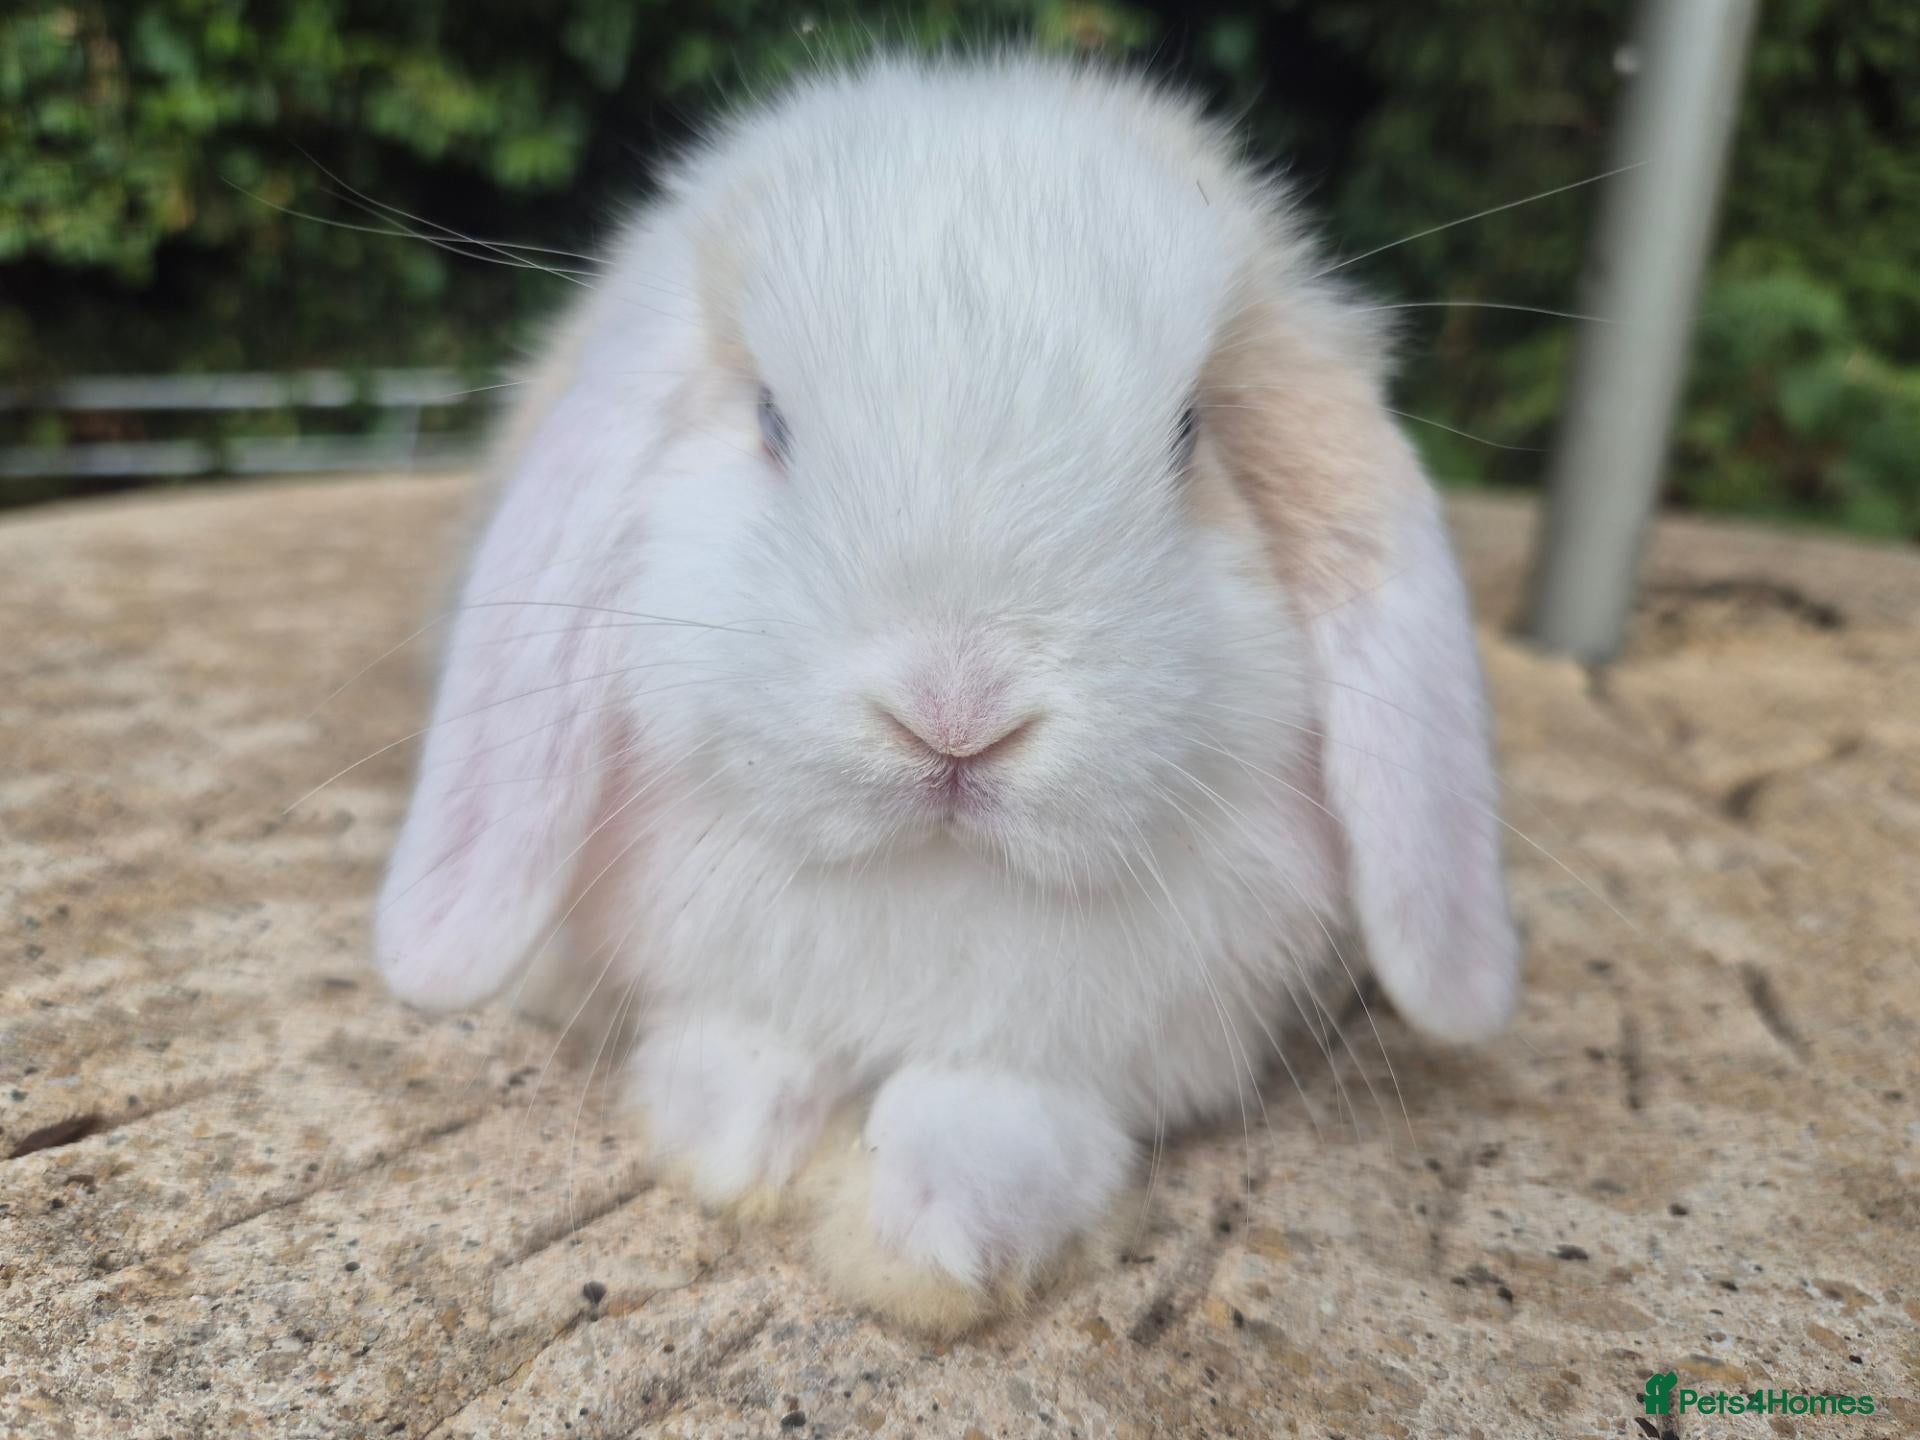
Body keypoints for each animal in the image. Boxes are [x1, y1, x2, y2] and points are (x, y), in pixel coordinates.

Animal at [373, 53, 1520, 1334]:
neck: (932, 888)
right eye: (770, 421)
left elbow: (1005, 1117)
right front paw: (740, 1142)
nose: (957, 718)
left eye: (1188, 436)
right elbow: (738, 1043)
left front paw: (924, 1236)